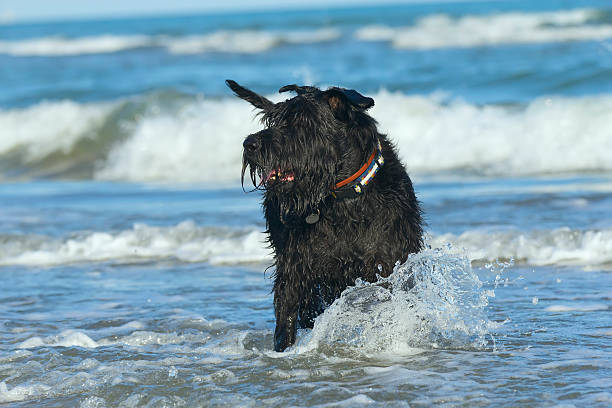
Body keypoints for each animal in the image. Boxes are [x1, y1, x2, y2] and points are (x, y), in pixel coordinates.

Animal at [227, 79, 424, 350]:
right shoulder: (295, 269)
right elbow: (287, 314)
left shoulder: (389, 263)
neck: (344, 199)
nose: (250, 144)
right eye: (274, 120)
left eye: (302, 122)